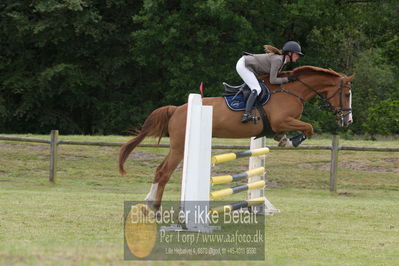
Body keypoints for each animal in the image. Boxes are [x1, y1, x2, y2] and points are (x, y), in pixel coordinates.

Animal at [119, 65, 356, 209]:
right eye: (346, 94)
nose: (348, 121)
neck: (292, 90)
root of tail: (176, 109)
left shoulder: (276, 125)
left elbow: (297, 130)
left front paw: (283, 139)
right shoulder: (282, 120)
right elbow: (309, 128)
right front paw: (291, 141)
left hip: (177, 147)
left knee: (159, 170)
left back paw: (148, 202)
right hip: (179, 147)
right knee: (164, 172)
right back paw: (156, 208)